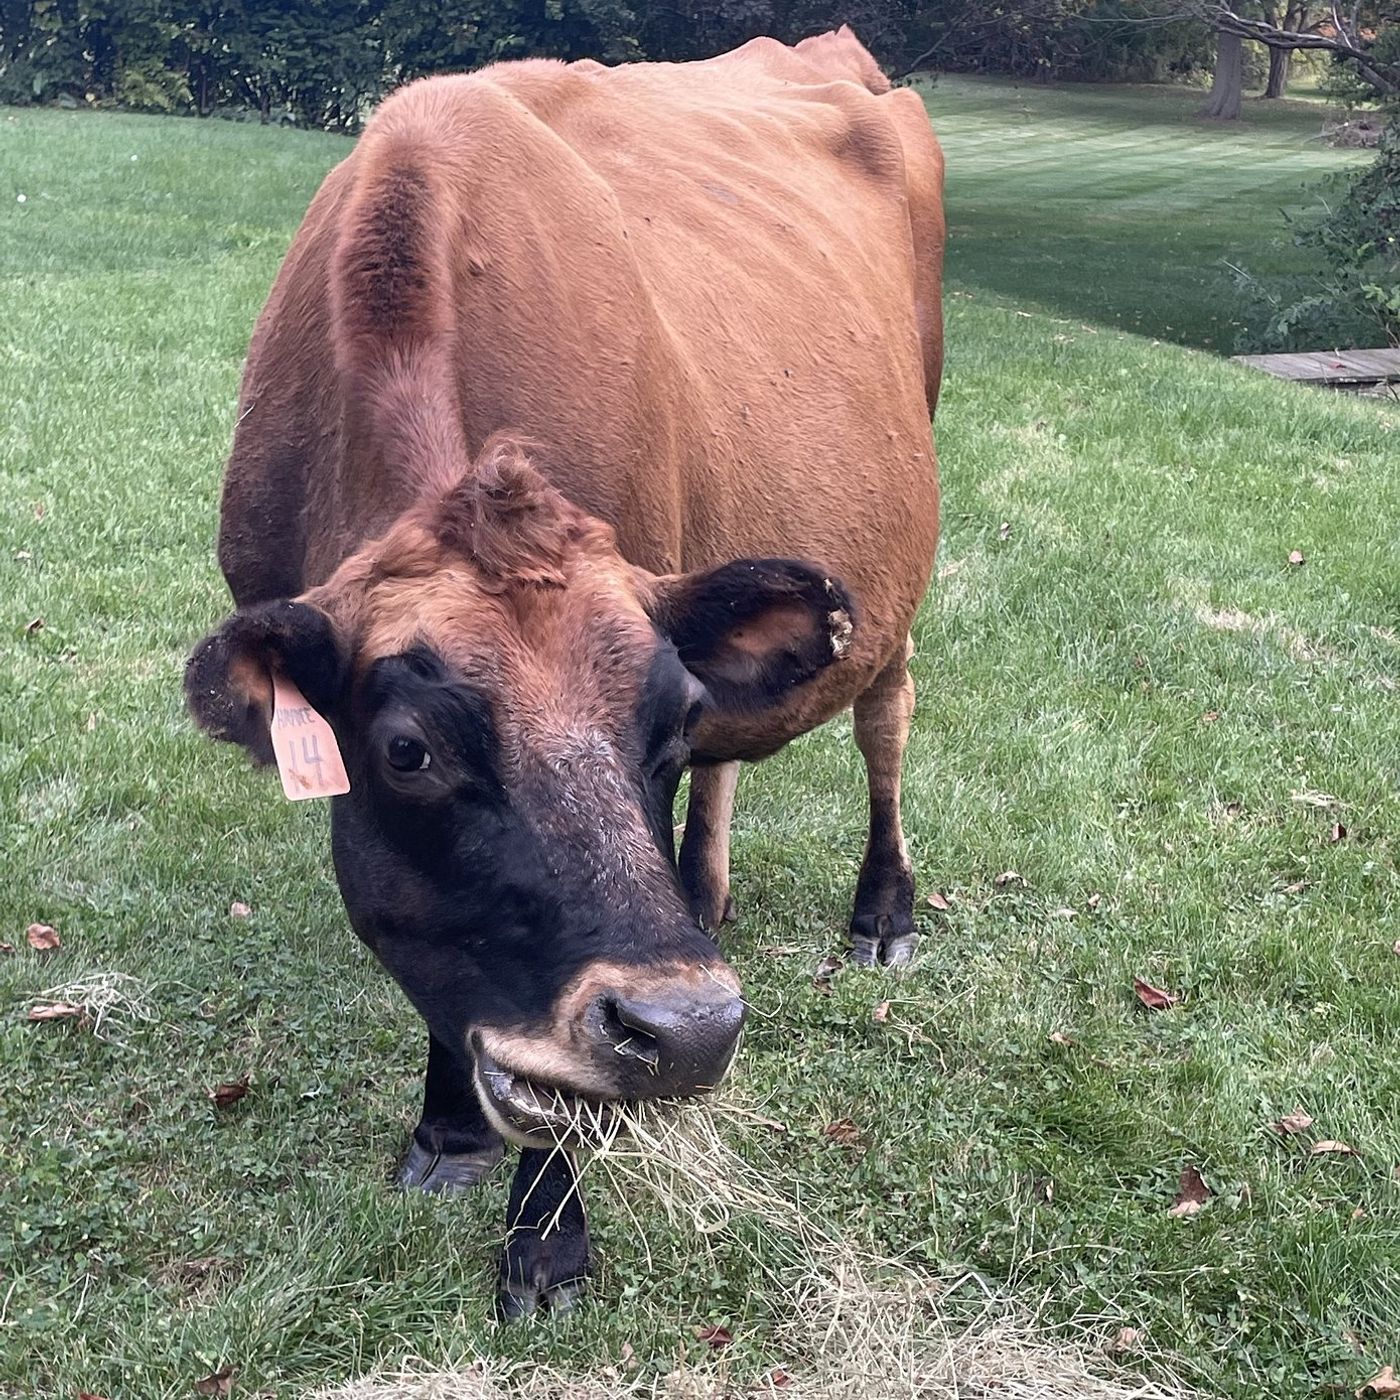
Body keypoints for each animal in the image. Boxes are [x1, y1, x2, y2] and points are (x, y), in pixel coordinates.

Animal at [185, 26, 944, 1317]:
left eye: (661, 729)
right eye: (407, 749)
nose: (690, 1025)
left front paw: (545, 1239)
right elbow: (439, 937)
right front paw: (450, 1129)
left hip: (895, 573)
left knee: (883, 717)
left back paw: (880, 906)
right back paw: (701, 887)